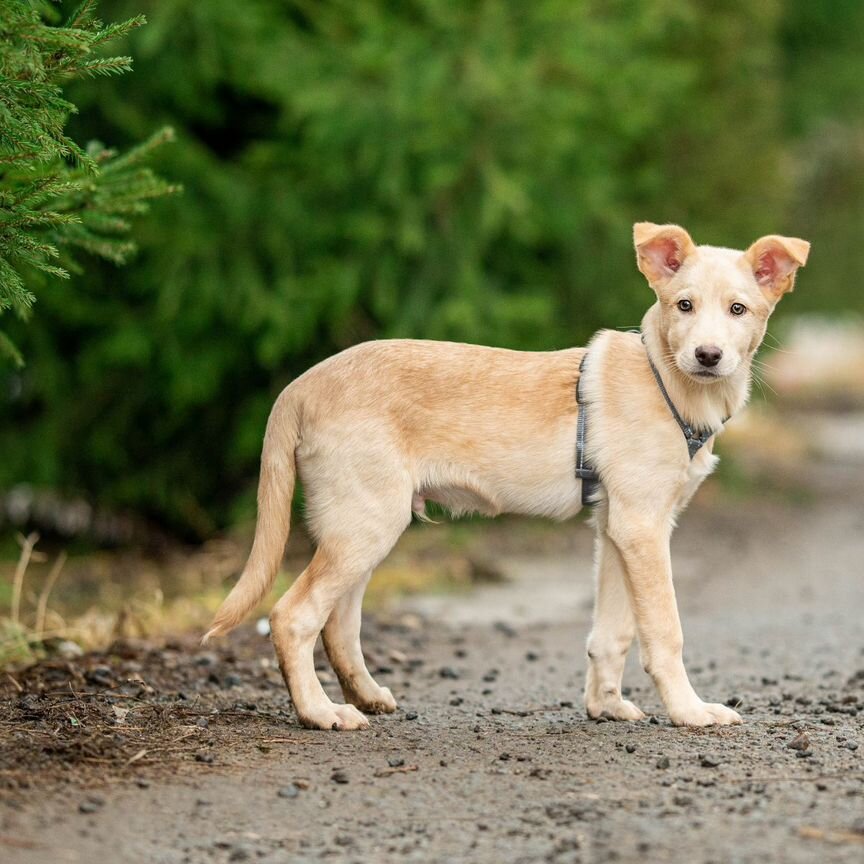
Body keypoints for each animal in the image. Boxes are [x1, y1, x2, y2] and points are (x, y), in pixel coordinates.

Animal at [204, 223, 808, 728]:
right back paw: (320, 712)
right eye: (684, 305)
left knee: (339, 622)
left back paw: (366, 697)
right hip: (366, 522)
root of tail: (301, 385)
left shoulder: (617, 528)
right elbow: (664, 629)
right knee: (293, 616)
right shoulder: (642, 526)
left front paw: (606, 706)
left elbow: (612, 630)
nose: (708, 356)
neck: (665, 379)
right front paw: (690, 711)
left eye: (738, 309)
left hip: (360, 525)